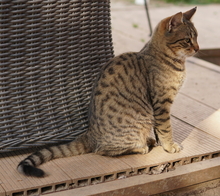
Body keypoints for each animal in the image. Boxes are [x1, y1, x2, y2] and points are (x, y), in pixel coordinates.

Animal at [17, 7, 199, 177]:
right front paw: (169, 146)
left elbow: (159, 129)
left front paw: (162, 143)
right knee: (103, 151)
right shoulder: (161, 103)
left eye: (197, 37)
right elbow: (166, 128)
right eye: (187, 40)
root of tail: (90, 134)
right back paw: (141, 147)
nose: (197, 49)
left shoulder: (159, 107)